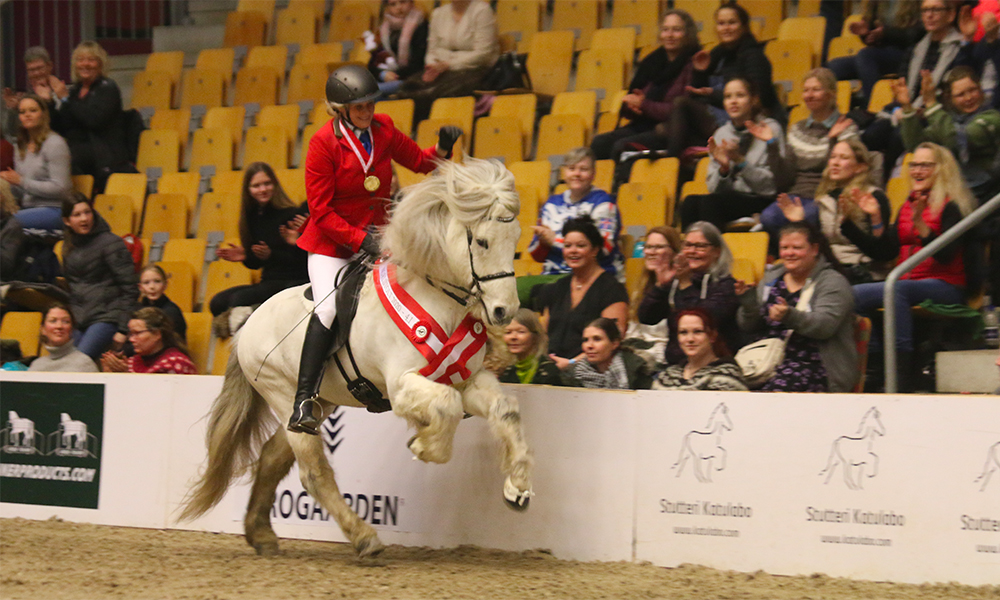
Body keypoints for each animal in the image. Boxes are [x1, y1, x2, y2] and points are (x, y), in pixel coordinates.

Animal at [184, 159, 536, 556]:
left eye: (515, 238)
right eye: (482, 241)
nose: (504, 311)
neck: (435, 297)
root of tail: (248, 323)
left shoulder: (469, 380)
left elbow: (505, 410)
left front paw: (517, 490)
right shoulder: (402, 387)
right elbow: (446, 406)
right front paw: (424, 445)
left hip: (319, 403)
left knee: (273, 456)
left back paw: (261, 534)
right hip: (284, 394)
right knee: (313, 472)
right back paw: (364, 537)